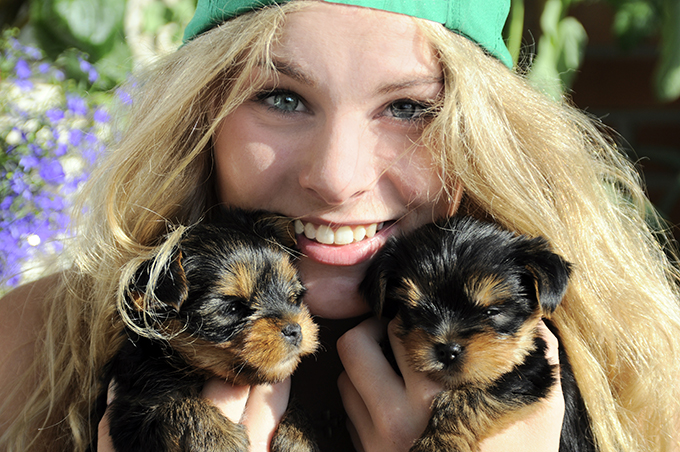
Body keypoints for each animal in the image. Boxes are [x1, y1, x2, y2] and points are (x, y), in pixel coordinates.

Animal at [97, 208, 318, 452]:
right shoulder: (130, 408)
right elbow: (176, 406)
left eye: (293, 297)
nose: (295, 329)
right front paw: (218, 438)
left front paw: (299, 436)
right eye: (232, 307)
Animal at [362, 215, 596, 452]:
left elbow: (468, 398)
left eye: (491, 312)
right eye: (415, 311)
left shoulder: (531, 371)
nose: (448, 350)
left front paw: (436, 444)